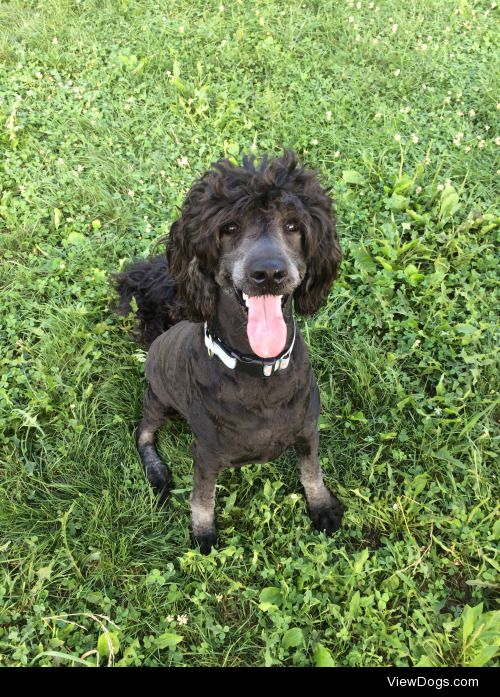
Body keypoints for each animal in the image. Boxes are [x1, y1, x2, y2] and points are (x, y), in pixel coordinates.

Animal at [114, 150, 344, 552]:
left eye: (293, 225)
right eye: (230, 228)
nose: (268, 273)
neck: (259, 369)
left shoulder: (307, 433)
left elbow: (312, 472)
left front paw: (321, 506)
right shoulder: (205, 455)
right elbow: (202, 498)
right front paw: (203, 534)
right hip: (157, 399)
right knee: (142, 433)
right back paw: (156, 471)